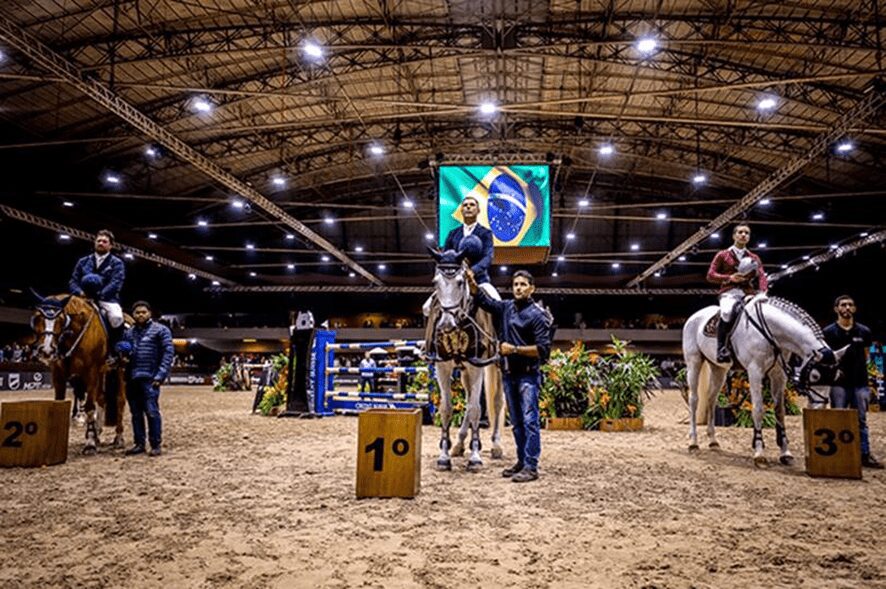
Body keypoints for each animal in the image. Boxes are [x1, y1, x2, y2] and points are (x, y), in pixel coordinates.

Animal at [31, 294, 126, 454]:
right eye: (37, 317)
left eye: (61, 319)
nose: (46, 350)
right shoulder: (59, 375)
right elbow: (59, 404)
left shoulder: (90, 372)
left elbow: (89, 407)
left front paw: (90, 443)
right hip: (101, 372)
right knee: (102, 398)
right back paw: (98, 433)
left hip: (119, 371)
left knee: (120, 400)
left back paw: (118, 438)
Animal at [428, 246, 506, 470]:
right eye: (435, 282)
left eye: (460, 282)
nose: (446, 324)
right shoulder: (443, 367)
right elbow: (446, 408)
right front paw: (444, 455)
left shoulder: (477, 367)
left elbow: (475, 409)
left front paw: (475, 456)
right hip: (463, 371)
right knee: (469, 395)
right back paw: (460, 443)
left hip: (496, 367)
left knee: (496, 401)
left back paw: (495, 445)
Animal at [684, 296, 848, 466]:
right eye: (815, 376)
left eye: (836, 376)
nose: (819, 409)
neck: (772, 332)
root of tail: (695, 315)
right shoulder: (755, 371)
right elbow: (758, 409)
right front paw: (759, 453)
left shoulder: (778, 374)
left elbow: (780, 411)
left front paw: (785, 453)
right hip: (694, 362)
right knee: (694, 400)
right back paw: (693, 443)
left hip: (719, 369)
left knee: (711, 399)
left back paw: (713, 441)